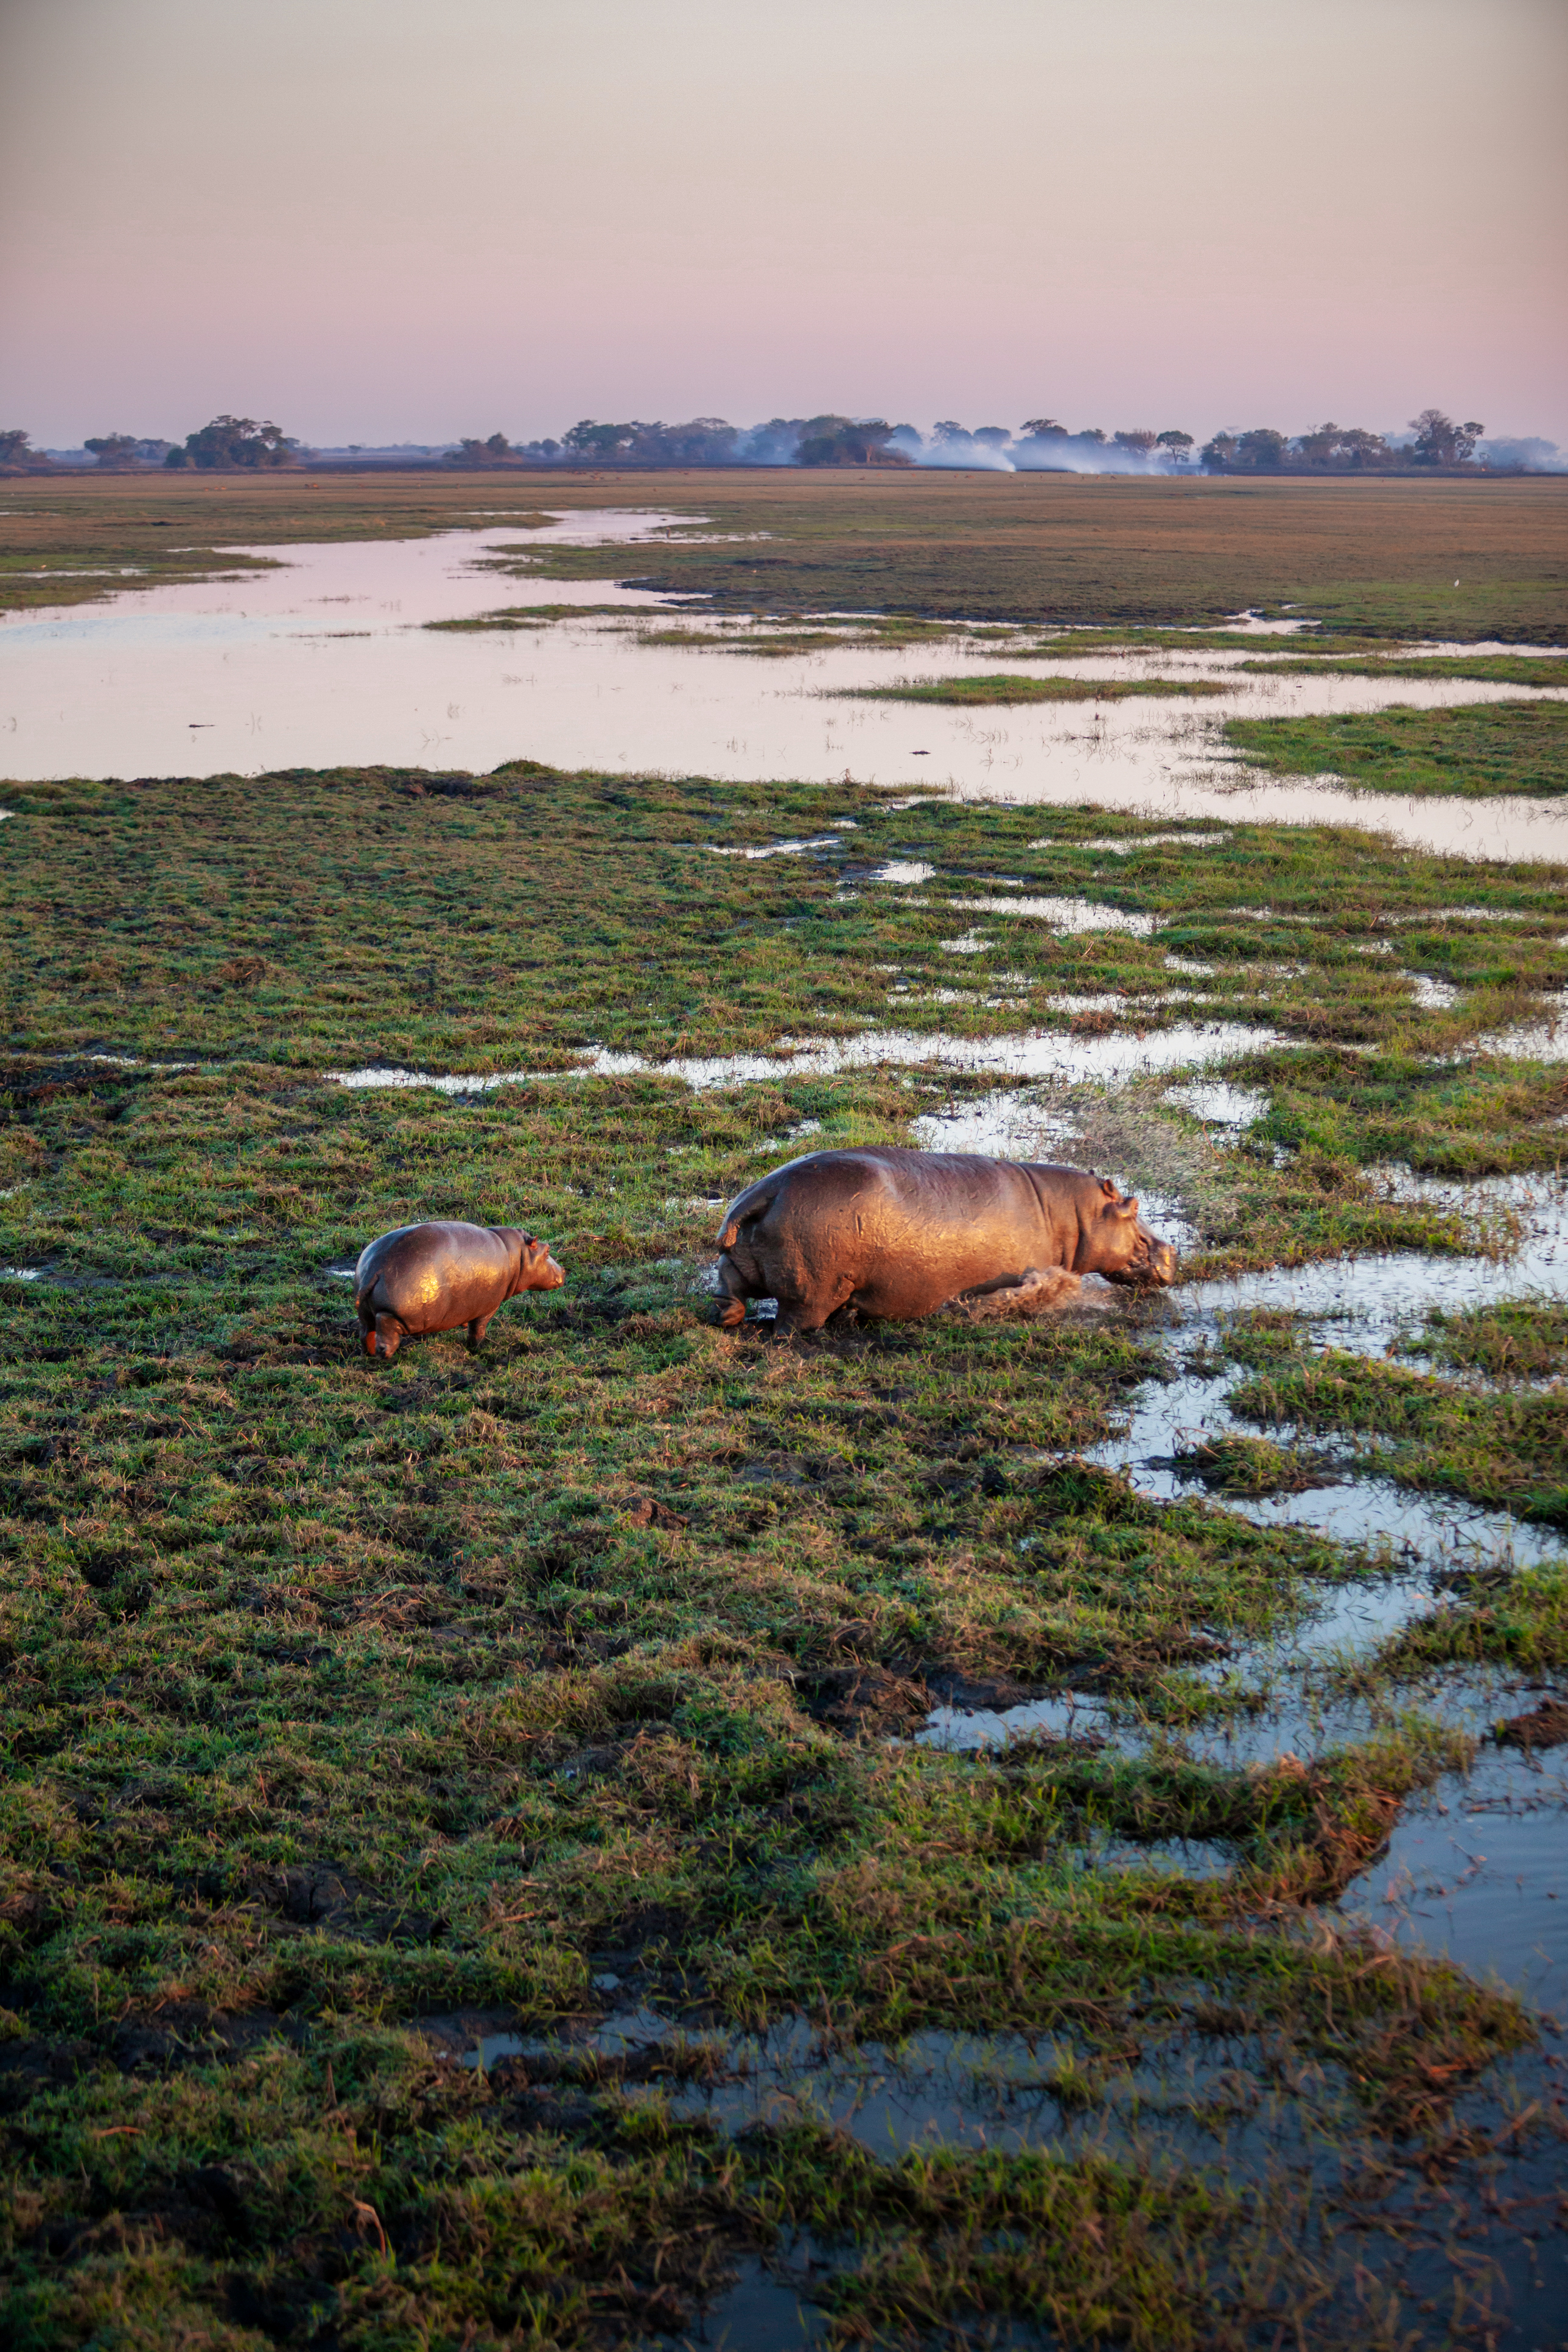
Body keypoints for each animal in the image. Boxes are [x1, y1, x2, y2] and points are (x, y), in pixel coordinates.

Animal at [354, 1220, 564, 1360]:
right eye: (547, 1250)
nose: (563, 1271)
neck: (518, 1253)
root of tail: (377, 1268)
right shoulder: (489, 1308)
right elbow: (477, 1330)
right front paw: (477, 1349)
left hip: (365, 1311)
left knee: (366, 1332)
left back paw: (369, 1354)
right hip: (401, 1316)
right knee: (385, 1328)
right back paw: (386, 1357)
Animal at [714, 1148, 1176, 1332]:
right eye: (1132, 1205)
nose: (1172, 1252)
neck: (1071, 1215)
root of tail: (765, 1191)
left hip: (740, 1260)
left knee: (729, 1289)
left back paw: (729, 1318)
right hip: (811, 1291)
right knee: (793, 1323)